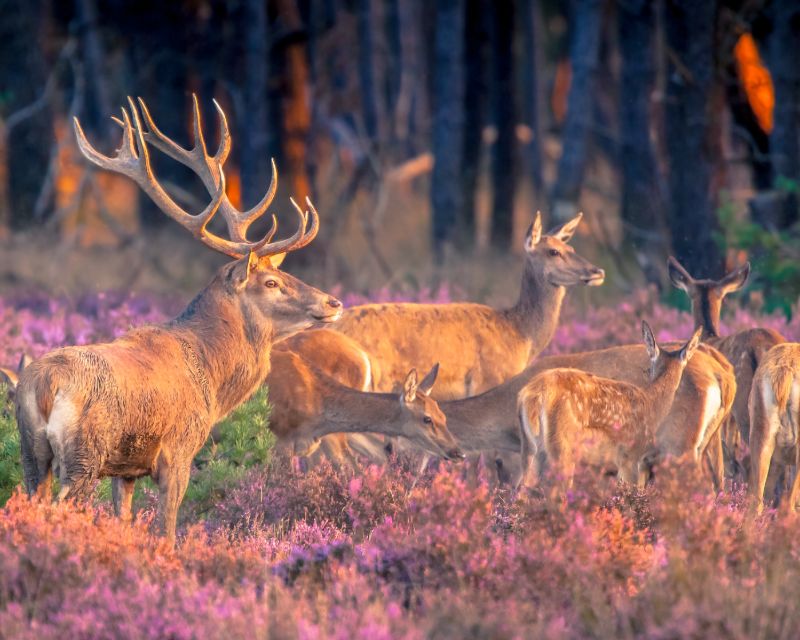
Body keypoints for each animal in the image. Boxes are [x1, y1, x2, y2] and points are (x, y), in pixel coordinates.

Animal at [14, 97, 340, 544]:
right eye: (271, 282)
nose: (333, 302)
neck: (213, 375)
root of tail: (45, 384)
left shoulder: (125, 468)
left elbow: (124, 518)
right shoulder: (178, 449)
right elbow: (167, 529)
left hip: (31, 450)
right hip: (84, 453)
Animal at [520, 322, 700, 488]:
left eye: (650, 366)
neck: (651, 405)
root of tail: (535, 394)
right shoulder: (631, 456)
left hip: (531, 447)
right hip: (563, 446)